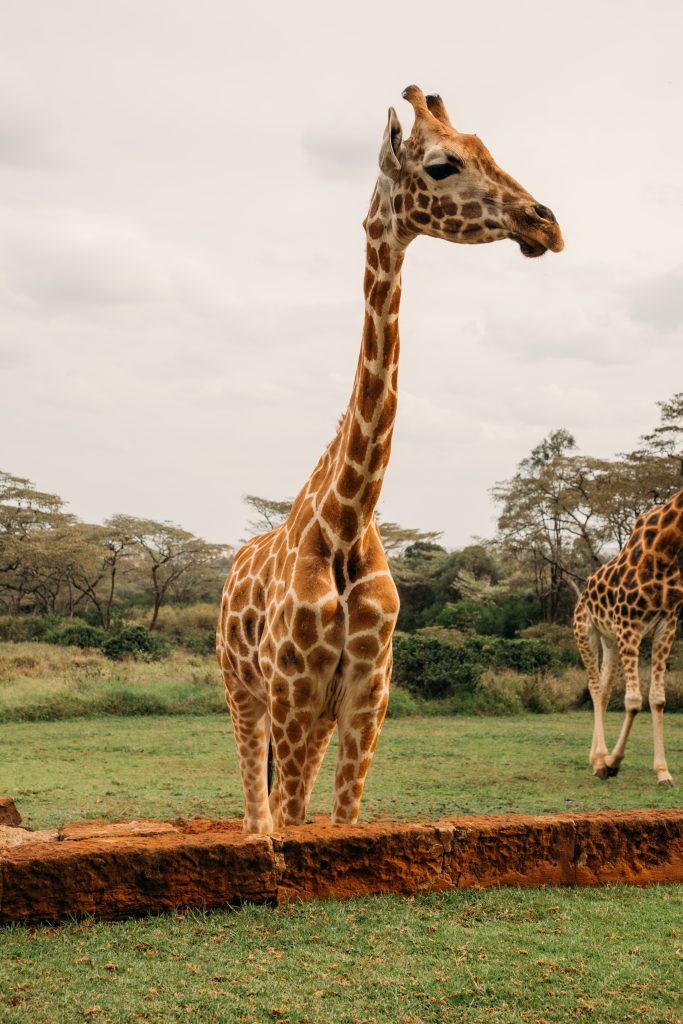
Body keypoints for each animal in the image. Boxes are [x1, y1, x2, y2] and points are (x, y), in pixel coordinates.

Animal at [573, 487, 683, 782]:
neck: (666, 548)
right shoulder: (629, 625)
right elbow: (633, 701)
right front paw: (612, 762)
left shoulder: (667, 624)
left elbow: (658, 699)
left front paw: (663, 772)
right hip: (585, 632)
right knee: (594, 686)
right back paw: (601, 760)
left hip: (610, 641)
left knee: (604, 689)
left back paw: (595, 758)